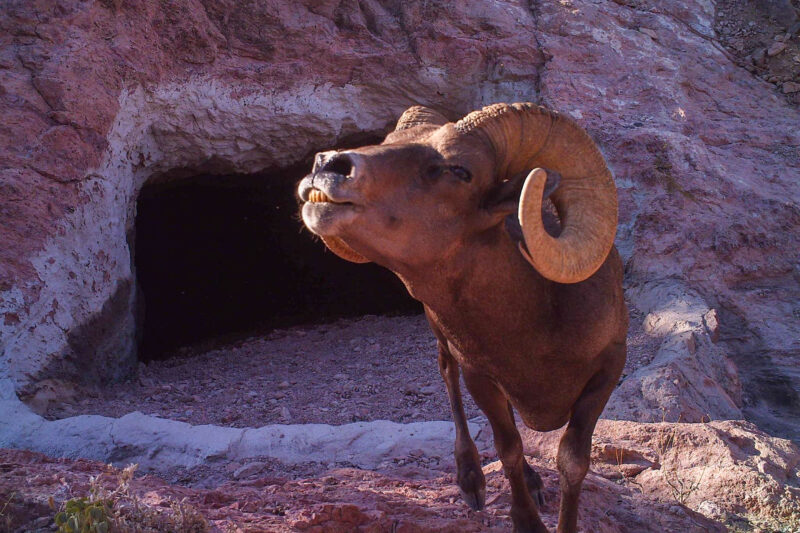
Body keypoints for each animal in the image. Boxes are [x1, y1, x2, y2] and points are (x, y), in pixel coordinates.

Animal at [297, 103, 628, 533]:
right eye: (387, 141)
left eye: (459, 170)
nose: (328, 165)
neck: (535, 333)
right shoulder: (479, 377)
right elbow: (507, 447)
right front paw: (525, 520)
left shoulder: (606, 372)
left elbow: (572, 461)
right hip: (442, 340)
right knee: (447, 376)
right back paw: (471, 480)